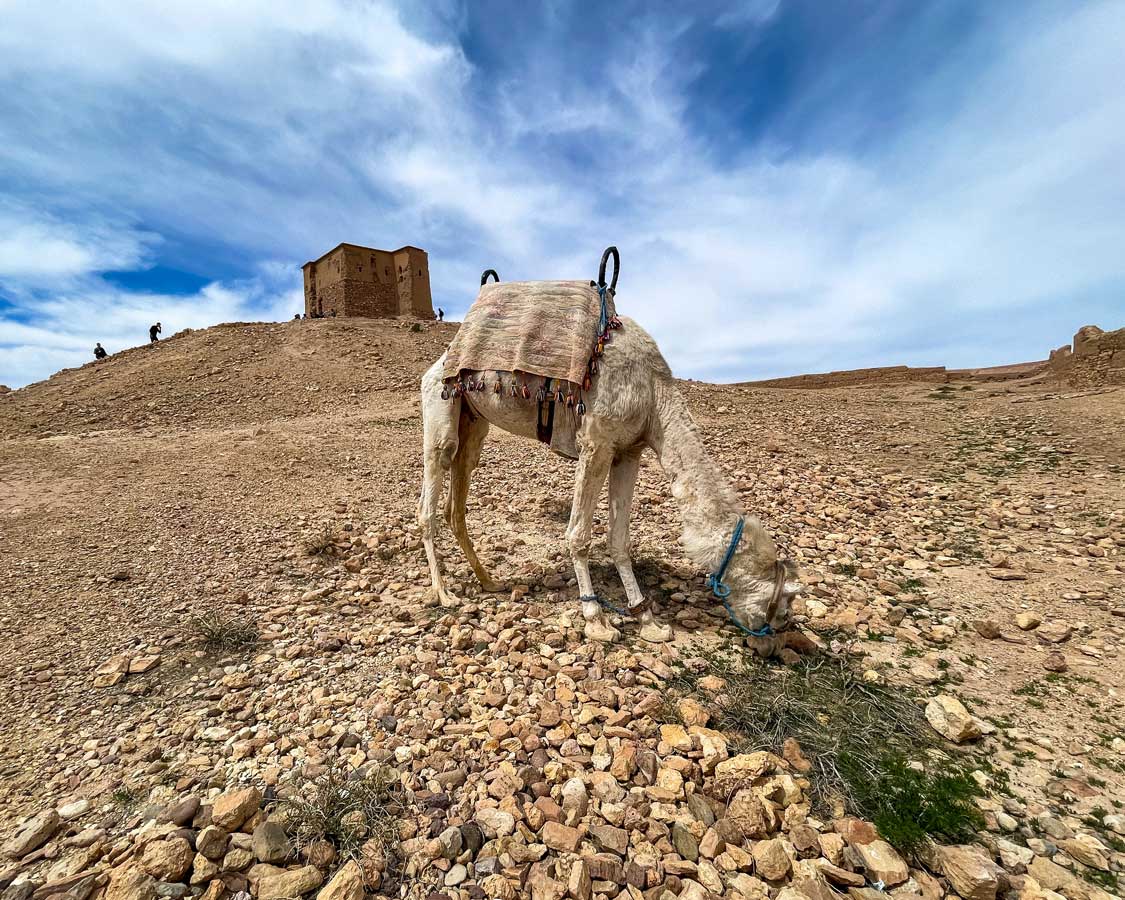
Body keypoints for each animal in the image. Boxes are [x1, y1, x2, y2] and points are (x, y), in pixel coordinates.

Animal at [420, 263, 801, 652]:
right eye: (781, 611)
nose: (771, 648)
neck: (653, 392)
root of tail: (441, 360)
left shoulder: (628, 451)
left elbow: (620, 540)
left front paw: (648, 620)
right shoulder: (596, 443)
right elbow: (578, 535)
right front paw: (596, 620)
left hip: (474, 420)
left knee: (458, 496)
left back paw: (489, 581)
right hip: (439, 403)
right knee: (432, 490)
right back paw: (444, 593)